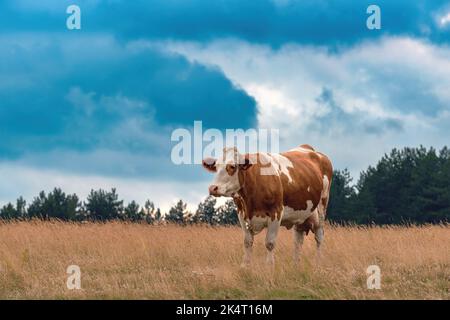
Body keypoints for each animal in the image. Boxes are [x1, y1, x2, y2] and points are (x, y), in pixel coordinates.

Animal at [202, 144, 332, 264]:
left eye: (232, 166)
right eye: (215, 167)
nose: (213, 188)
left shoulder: (276, 212)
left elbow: (270, 243)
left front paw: (269, 267)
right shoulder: (241, 214)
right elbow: (247, 242)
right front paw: (245, 266)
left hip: (322, 208)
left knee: (319, 237)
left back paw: (318, 263)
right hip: (300, 216)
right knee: (298, 241)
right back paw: (296, 265)